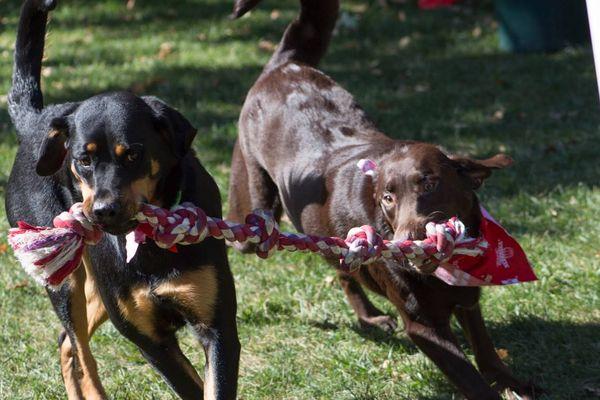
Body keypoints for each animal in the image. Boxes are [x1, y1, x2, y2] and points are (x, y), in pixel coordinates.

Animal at [6, 1, 239, 398]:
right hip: (66, 283)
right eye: (83, 160)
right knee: (81, 353)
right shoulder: (150, 342)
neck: (152, 244)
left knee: (67, 345)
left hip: (96, 291)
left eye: (132, 155)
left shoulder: (218, 330)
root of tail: (37, 121)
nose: (103, 211)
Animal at [227, 1, 540, 398]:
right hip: (251, 213)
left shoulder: (468, 300)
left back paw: (369, 317)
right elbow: (471, 378)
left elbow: (485, 350)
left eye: (429, 183)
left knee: (342, 268)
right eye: (388, 197)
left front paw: (512, 381)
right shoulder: (425, 327)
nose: (407, 241)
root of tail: (285, 64)